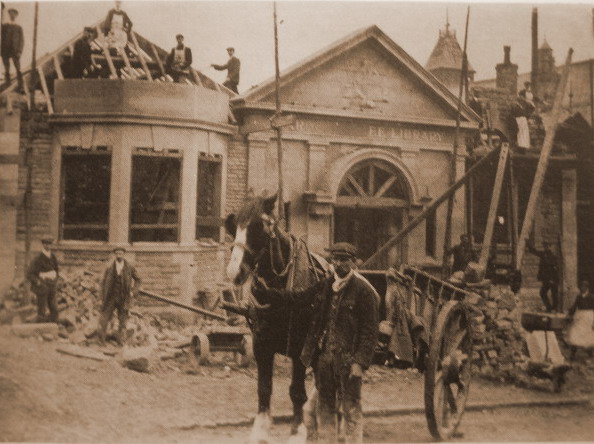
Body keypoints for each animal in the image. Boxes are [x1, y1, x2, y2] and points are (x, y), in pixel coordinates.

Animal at [223, 194, 324, 444]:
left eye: (259, 227)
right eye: (234, 226)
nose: (234, 271)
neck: (280, 291)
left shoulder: (301, 347)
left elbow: (296, 391)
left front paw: (297, 431)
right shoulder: (262, 343)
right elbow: (264, 388)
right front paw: (260, 430)